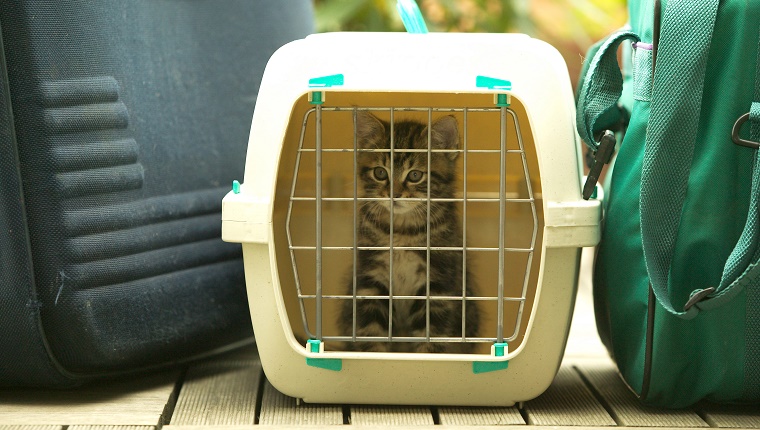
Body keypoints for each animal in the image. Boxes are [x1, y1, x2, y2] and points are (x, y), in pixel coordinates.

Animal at [340, 111, 480, 352]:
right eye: (380, 173)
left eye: (415, 175)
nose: (393, 194)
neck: (402, 230)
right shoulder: (370, 280)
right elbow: (371, 332)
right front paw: (373, 356)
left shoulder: (437, 283)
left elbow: (431, 335)